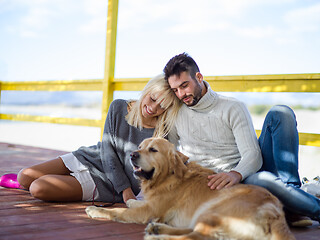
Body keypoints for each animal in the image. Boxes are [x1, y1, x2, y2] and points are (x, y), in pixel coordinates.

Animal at [85, 137, 296, 240]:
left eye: (153, 150)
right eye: (140, 146)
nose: (132, 155)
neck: (168, 176)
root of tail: (275, 212)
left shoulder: (149, 210)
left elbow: (117, 212)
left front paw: (96, 209)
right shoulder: (150, 206)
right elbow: (133, 204)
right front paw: (130, 200)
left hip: (212, 211)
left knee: (195, 237)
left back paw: (158, 237)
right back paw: (157, 229)